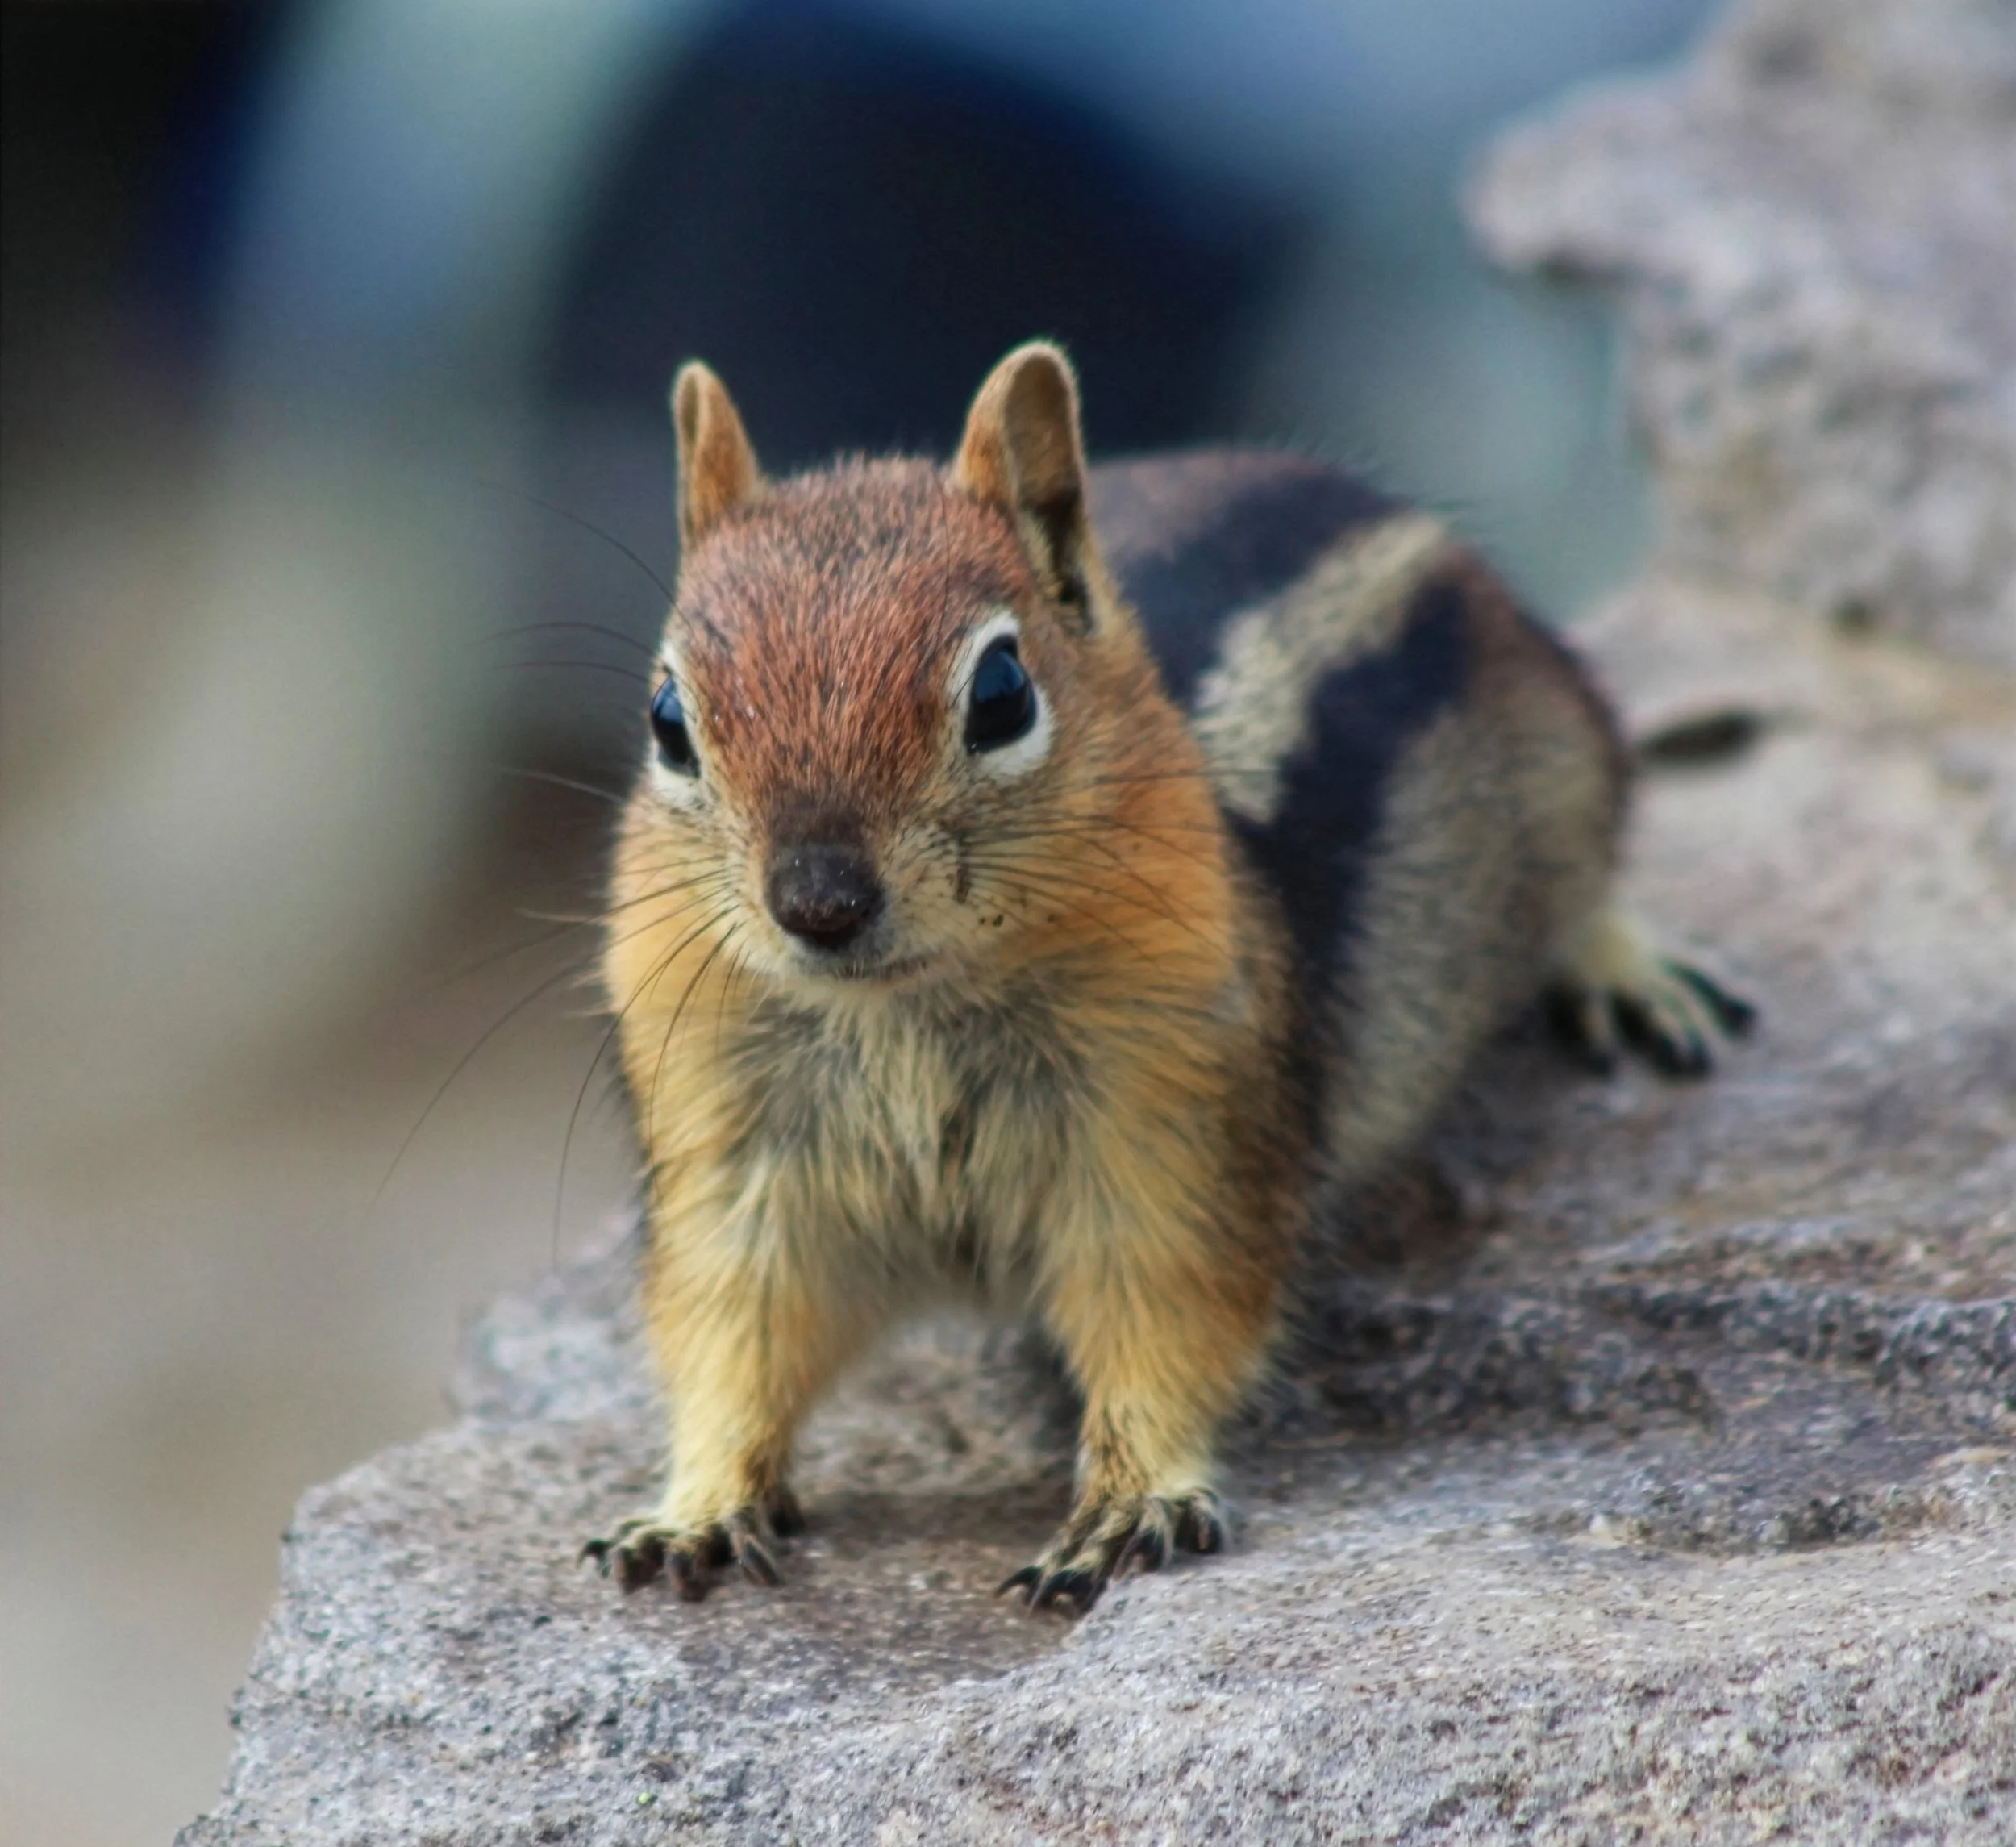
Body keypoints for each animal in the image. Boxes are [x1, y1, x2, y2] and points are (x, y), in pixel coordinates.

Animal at [583, 341, 1753, 1613]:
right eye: (668, 719)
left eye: (1002, 693)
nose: (819, 902)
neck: (906, 1007)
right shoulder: (732, 1155)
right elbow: (729, 1330)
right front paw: (691, 1508)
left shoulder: (1171, 1124)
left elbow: (1171, 1309)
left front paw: (1131, 1502)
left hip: (1566, 758)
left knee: (1591, 882)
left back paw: (1633, 976)